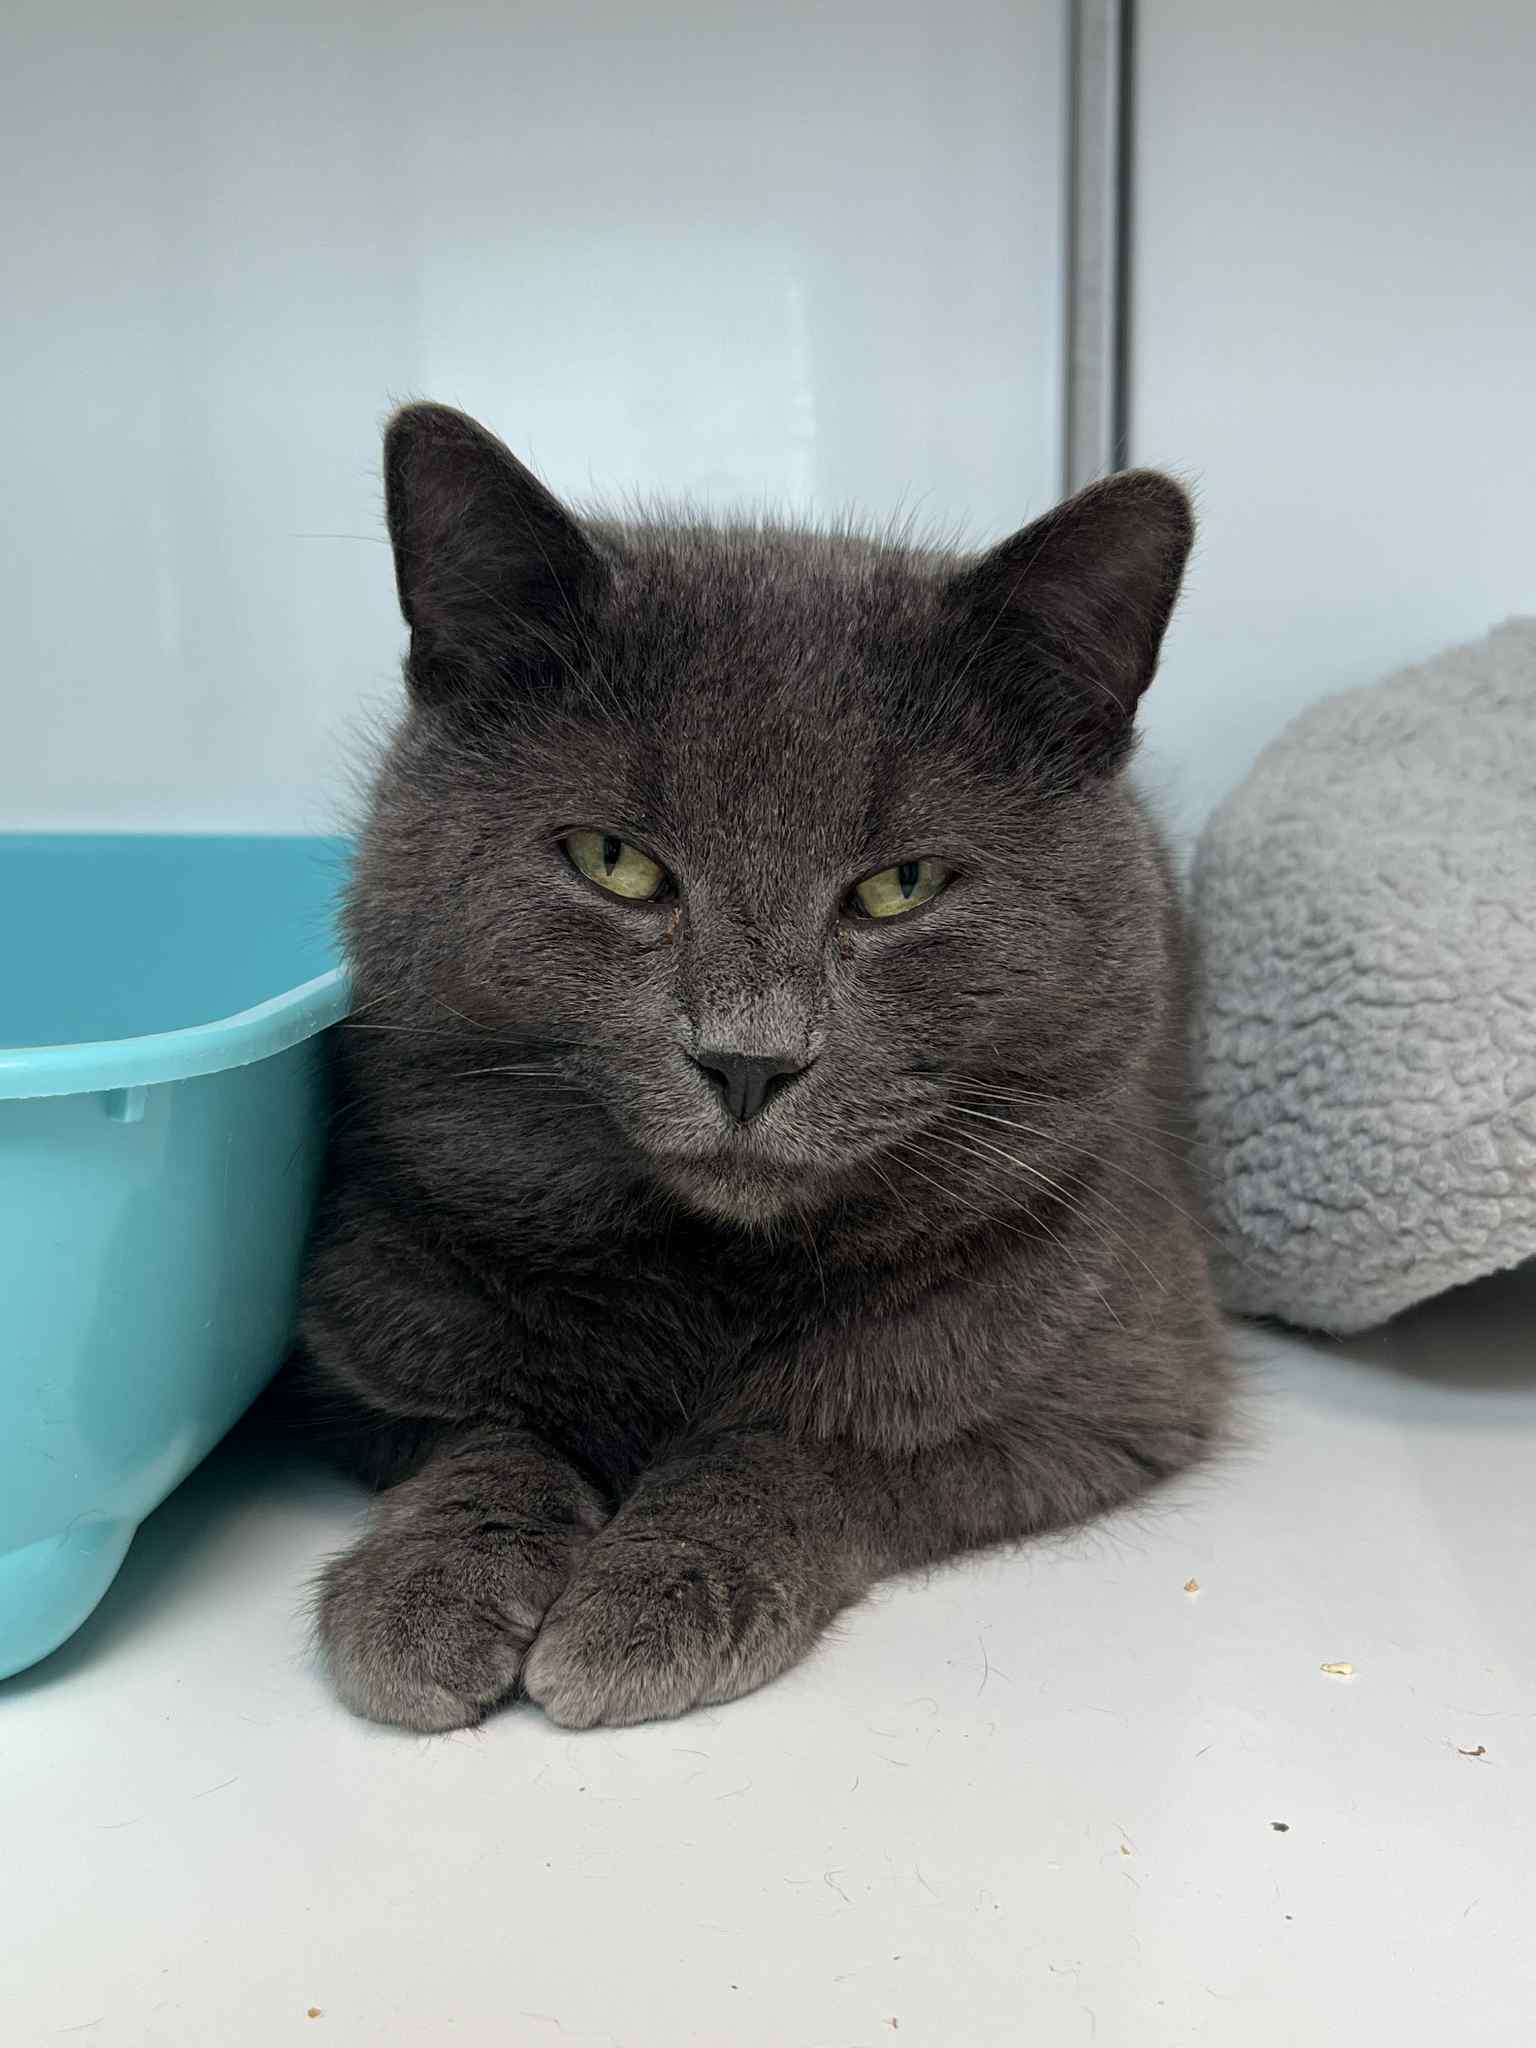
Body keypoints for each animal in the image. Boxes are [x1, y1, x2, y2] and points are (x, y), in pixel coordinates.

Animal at [297, 400, 1227, 1732]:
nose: (747, 1059)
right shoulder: (350, 1350)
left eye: (901, 885)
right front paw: (427, 1584)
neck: (712, 1278)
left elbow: (808, 1442)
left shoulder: (1118, 1386)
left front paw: (655, 1592)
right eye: (614, 860)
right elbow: (489, 1424)